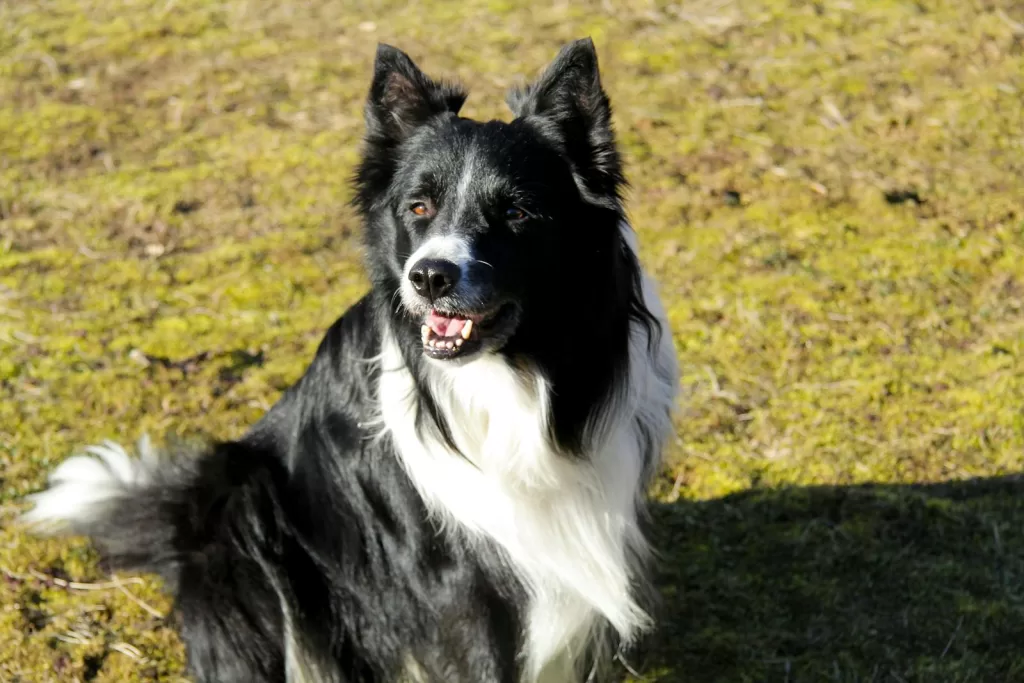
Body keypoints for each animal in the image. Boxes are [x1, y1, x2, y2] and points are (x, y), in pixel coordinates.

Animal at [22, 38, 679, 683]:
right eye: (418, 208)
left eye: (517, 213)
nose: (429, 277)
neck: (512, 375)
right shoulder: (452, 582)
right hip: (244, 498)